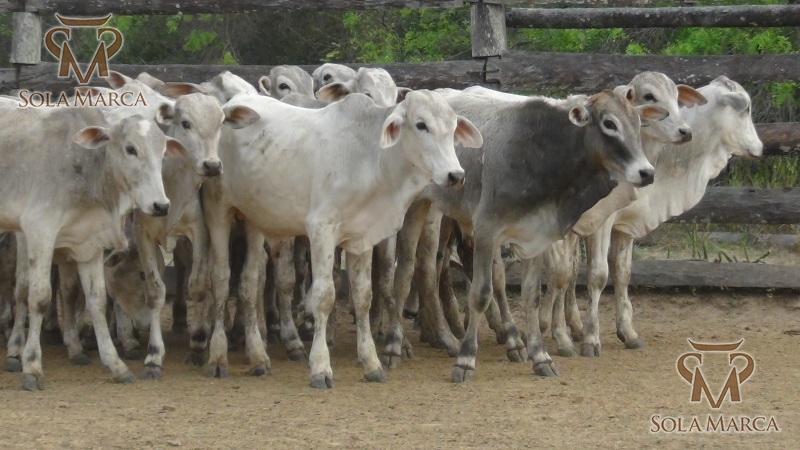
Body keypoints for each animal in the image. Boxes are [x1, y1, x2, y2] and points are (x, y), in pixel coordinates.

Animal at [0, 105, 183, 390]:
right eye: (130, 148)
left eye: (163, 152)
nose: (161, 205)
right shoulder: (40, 231)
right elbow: (39, 298)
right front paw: (31, 367)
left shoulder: (90, 245)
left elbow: (96, 301)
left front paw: (117, 365)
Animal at [202, 90, 482, 388]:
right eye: (421, 124)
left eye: (453, 127)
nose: (456, 175)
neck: (368, 156)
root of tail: (230, 103)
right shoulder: (321, 230)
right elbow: (324, 295)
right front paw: (320, 367)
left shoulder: (363, 236)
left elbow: (363, 296)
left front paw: (371, 363)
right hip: (217, 208)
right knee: (221, 280)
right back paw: (217, 358)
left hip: (254, 218)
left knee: (248, 282)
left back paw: (258, 356)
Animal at [385, 88, 667, 381]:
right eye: (609, 123)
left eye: (638, 123)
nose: (646, 172)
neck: (539, 157)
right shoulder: (486, 230)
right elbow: (480, 294)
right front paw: (465, 360)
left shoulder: (537, 237)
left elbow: (531, 295)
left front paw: (540, 356)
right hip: (418, 210)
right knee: (405, 273)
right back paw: (395, 345)